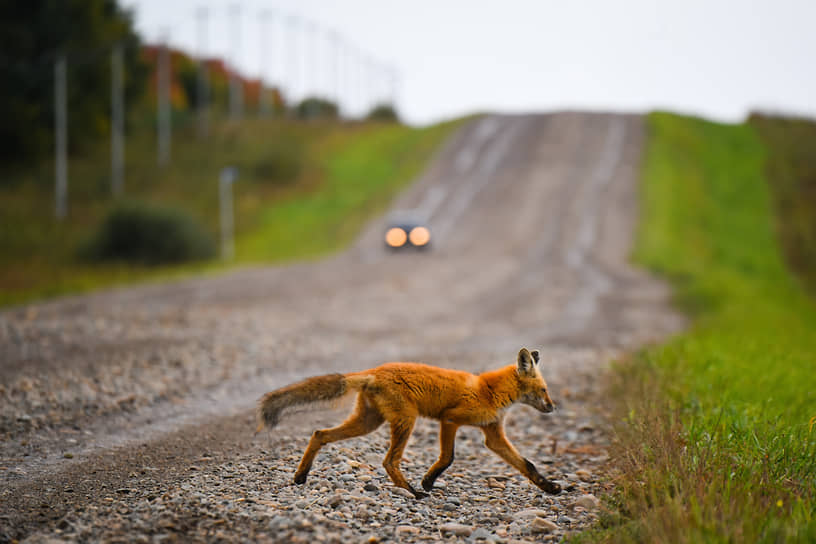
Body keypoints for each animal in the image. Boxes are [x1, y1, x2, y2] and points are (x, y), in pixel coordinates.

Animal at [255, 348, 560, 498]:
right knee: (389, 461)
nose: (553, 407)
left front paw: (549, 488)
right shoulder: (450, 419)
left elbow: (527, 465)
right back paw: (412, 492)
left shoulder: (493, 434)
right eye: (544, 390)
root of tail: (374, 371)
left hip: (368, 423)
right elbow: (448, 457)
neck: (489, 391)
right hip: (406, 421)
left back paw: (300, 476)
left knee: (319, 434)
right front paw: (427, 481)